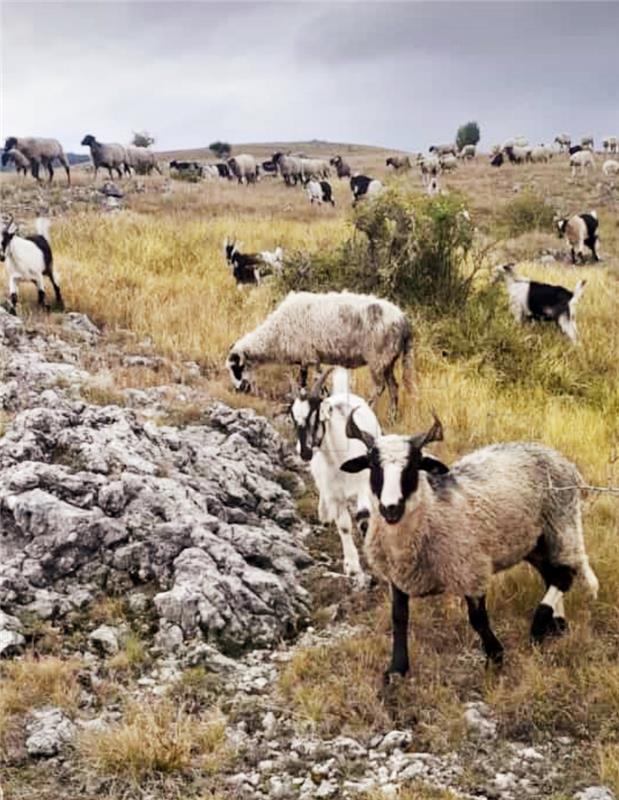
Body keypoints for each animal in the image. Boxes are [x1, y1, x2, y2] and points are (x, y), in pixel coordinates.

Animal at [225, 290, 414, 412]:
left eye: (237, 368)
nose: (238, 389)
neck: (276, 334)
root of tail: (404, 321)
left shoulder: (309, 356)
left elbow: (306, 381)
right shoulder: (309, 358)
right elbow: (308, 380)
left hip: (377, 358)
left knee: (379, 387)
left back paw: (369, 407)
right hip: (388, 360)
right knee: (394, 387)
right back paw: (392, 416)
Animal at [342, 412, 600, 680]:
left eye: (412, 465)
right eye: (373, 465)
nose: (390, 508)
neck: (431, 511)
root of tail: (560, 458)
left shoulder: (470, 568)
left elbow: (477, 618)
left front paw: (495, 656)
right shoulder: (398, 576)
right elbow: (399, 618)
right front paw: (397, 668)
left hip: (562, 525)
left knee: (565, 574)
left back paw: (539, 625)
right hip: (532, 541)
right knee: (552, 575)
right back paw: (556, 626)